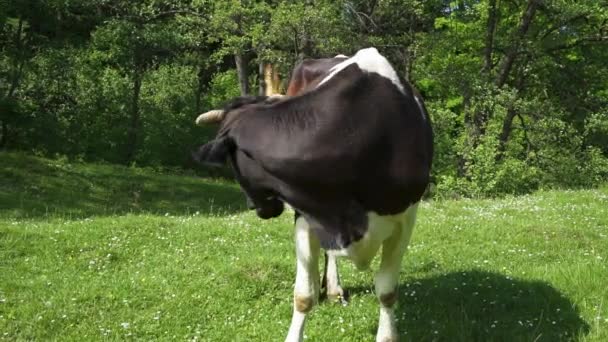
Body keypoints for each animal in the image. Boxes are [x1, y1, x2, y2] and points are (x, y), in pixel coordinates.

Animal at [195, 48, 432, 342]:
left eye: (231, 162)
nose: (254, 207)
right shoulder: (307, 215)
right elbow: (303, 295)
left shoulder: (406, 219)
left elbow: (387, 292)